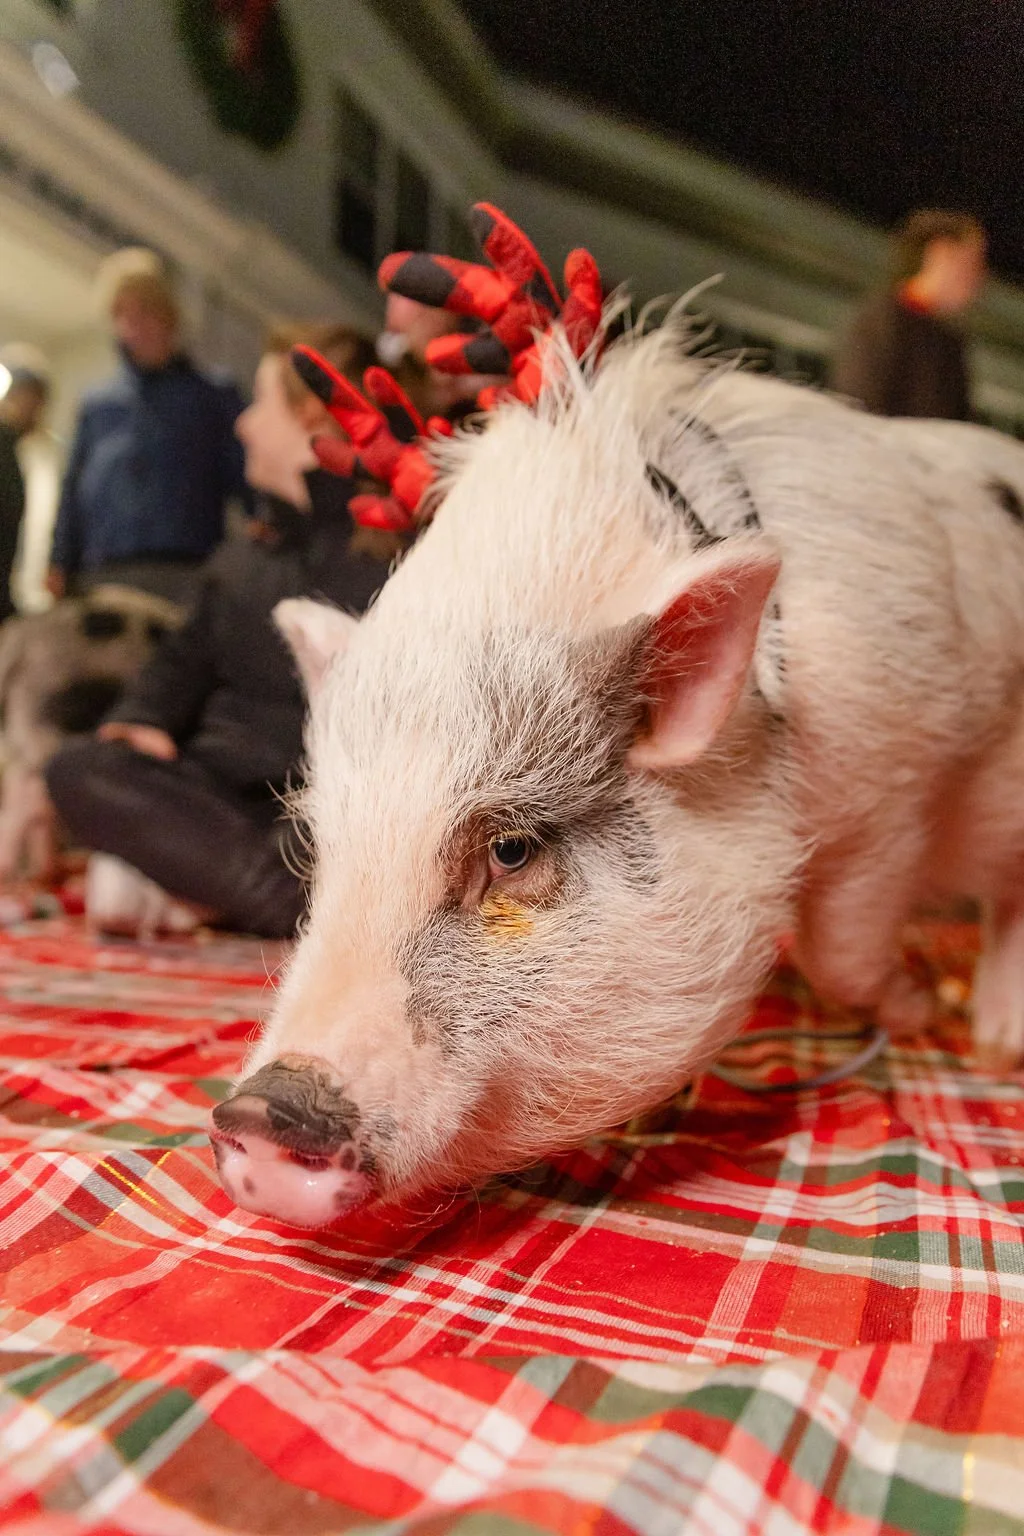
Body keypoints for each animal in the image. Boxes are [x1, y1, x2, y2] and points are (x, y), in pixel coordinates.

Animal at [211, 317, 1024, 1226]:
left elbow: (842, 946)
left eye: (512, 850)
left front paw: (915, 1009)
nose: (260, 1114)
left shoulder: (892, 794)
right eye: (323, 852)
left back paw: (993, 1043)